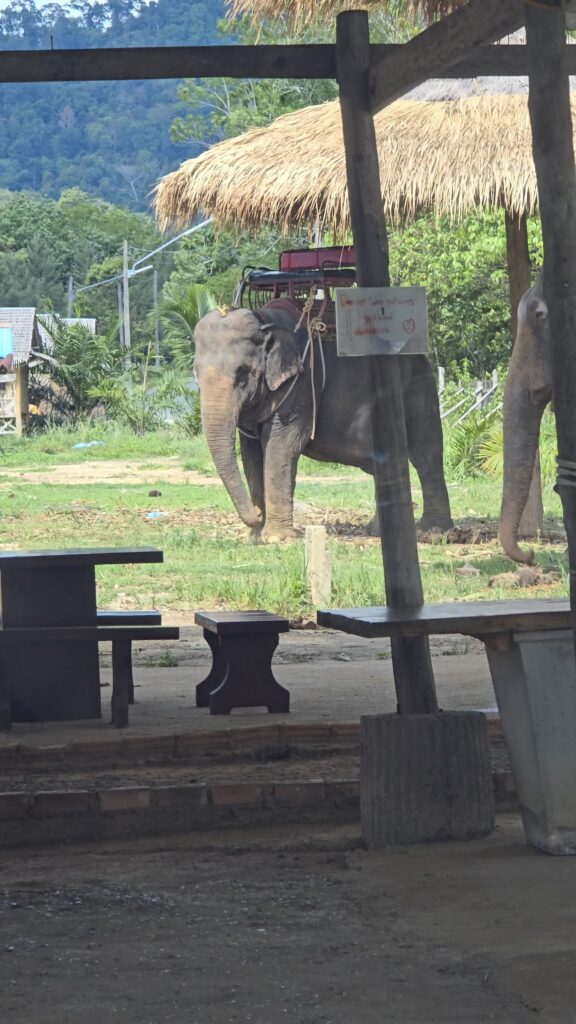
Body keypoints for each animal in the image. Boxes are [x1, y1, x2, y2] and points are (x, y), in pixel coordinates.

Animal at [193, 299, 453, 544]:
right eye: (195, 373)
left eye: (242, 373)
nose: (256, 515)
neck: (264, 319)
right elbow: (252, 455)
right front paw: (257, 536)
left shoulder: (302, 386)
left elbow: (281, 447)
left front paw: (276, 538)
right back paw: (378, 531)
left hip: (418, 385)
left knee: (426, 452)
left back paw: (431, 533)